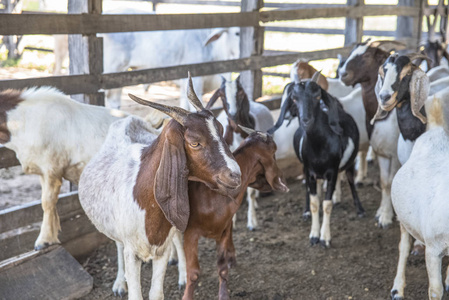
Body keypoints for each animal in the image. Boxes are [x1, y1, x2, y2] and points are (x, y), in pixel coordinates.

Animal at [79, 77, 242, 300]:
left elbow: (157, 293)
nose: (235, 175)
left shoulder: (162, 249)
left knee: (178, 239)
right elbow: (135, 291)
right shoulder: (131, 251)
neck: (145, 201)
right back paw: (120, 282)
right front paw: (122, 283)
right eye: (195, 143)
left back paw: (182, 274)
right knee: (118, 244)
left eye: (221, 131)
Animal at [172, 127, 288, 300]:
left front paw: (224, 294)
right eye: (274, 152)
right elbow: (193, 273)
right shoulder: (191, 233)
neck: (212, 194)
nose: (282, 177)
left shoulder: (224, 229)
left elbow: (222, 267)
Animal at [270, 74, 364, 247]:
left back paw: (359, 209)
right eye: (294, 98)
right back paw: (306, 211)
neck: (320, 146)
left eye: (317, 96)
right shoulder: (309, 171)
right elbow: (314, 202)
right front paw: (314, 234)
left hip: (349, 163)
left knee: (350, 180)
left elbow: (327, 204)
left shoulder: (332, 172)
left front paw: (325, 237)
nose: (306, 120)